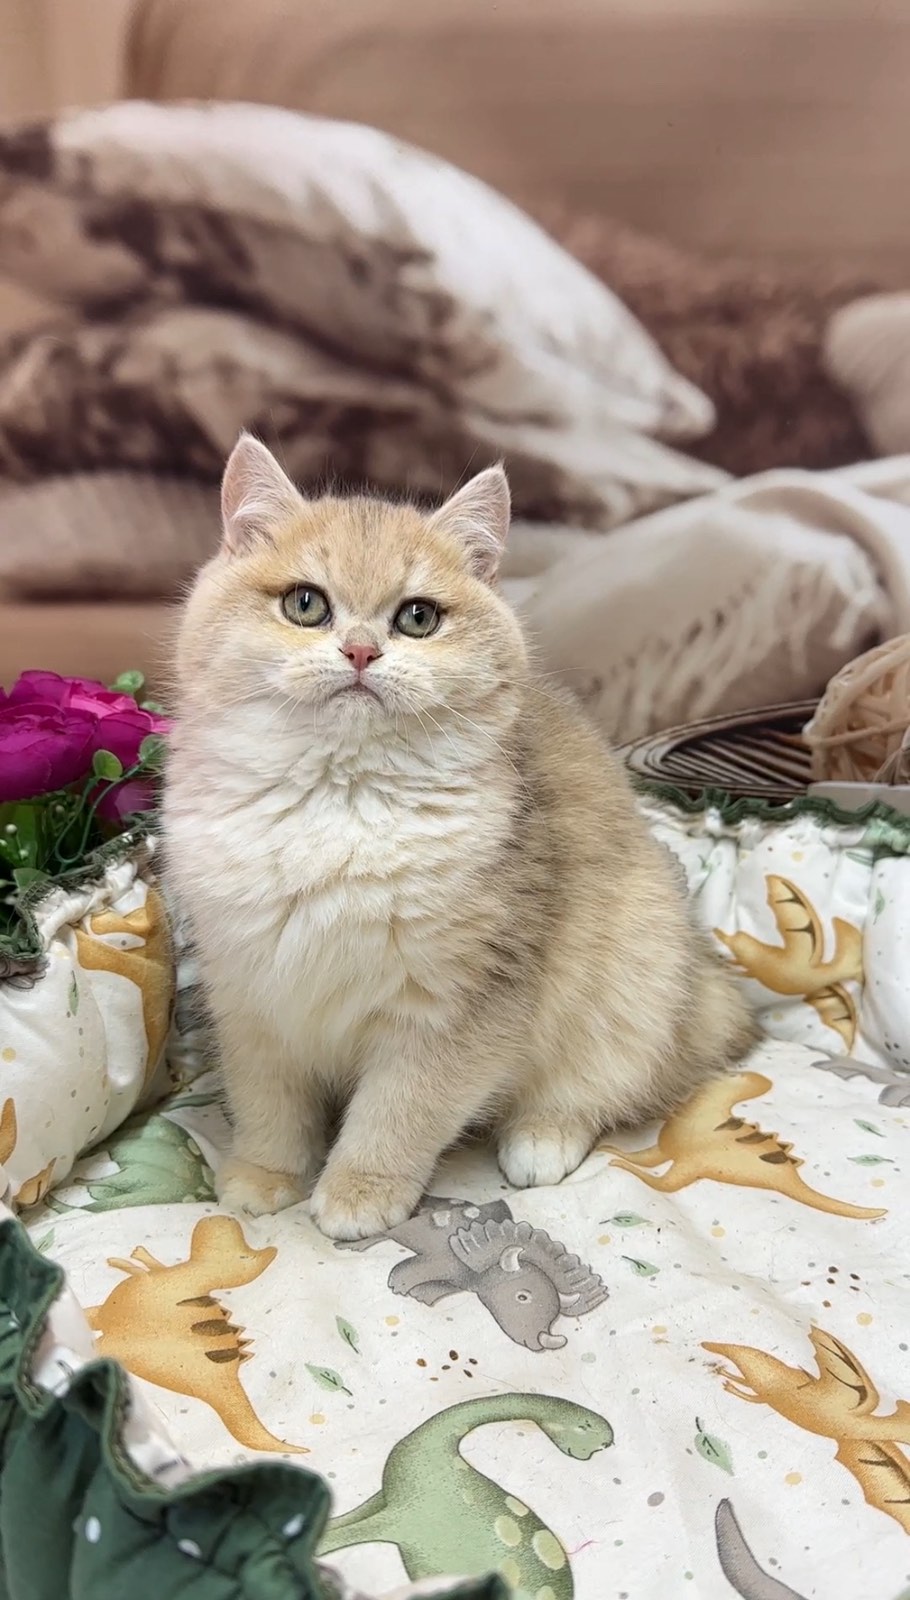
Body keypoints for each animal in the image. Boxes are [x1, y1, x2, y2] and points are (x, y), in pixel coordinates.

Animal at [163, 433, 756, 1240]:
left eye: (417, 618)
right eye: (305, 604)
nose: (360, 652)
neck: (339, 798)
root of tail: (705, 986)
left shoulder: (456, 1010)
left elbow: (398, 1113)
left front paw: (359, 1190)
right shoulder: (253, 997)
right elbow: (269, 1104)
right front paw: (265, 1174)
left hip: (636, 968)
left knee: (603, 1087)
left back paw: (541, 1140)